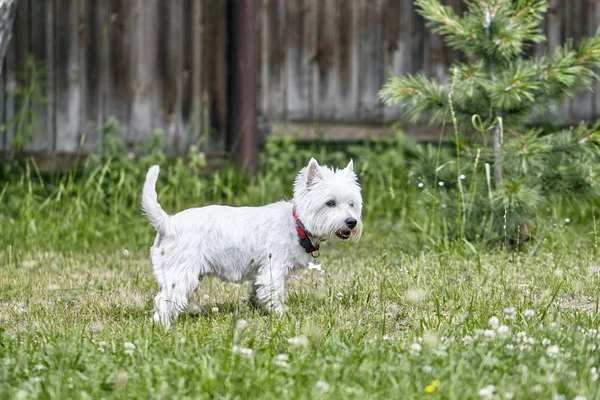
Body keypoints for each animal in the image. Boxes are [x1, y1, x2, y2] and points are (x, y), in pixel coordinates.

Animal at [143, 157, 364, 324]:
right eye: (330, 203)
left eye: (352, 204)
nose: (352, 222)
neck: (297, 225)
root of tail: (167, 223)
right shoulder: (273, 269)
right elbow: (274, 293)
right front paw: (282, 315)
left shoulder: (260, 272)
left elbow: (258, 292)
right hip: (182, 270)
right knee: (164, 300)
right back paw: (164, 326)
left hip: (177, 271)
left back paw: (195, 309)